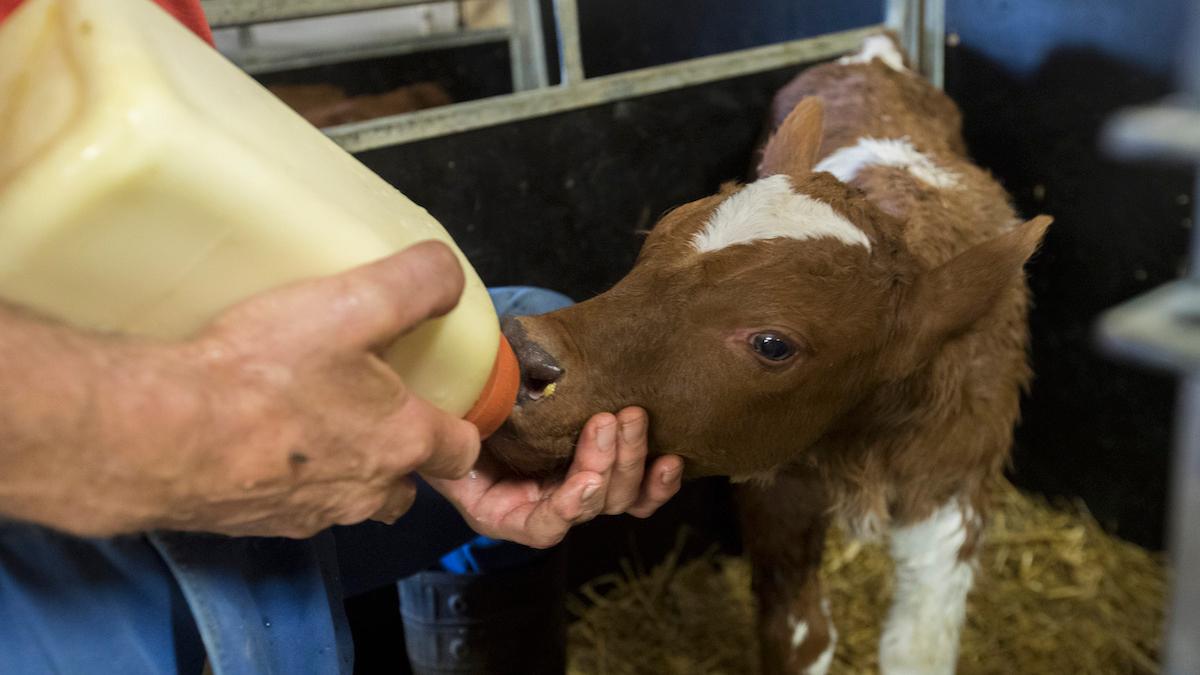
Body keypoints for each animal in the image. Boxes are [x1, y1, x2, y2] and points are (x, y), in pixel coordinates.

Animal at [487, 35, 1051, 672]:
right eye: (658, 235)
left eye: (773, 344)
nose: (525, 354)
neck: (860, 438)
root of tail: (876, 51)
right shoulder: (778, 487)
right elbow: (800, 636)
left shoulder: (954, 486)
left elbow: (916, 650)